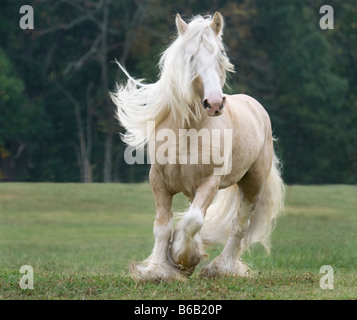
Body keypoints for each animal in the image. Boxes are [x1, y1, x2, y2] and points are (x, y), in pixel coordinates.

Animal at [110, 12, 284, 282]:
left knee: (239, 225)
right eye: (190, 57)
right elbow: (163, 227)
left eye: (221, 54)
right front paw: (158, 269)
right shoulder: (158, 180)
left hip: (253, 183)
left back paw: (221, 267)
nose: (214, 103)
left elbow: (192, 220)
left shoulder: (210, 182)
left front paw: (182, 259)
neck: (187, 131)